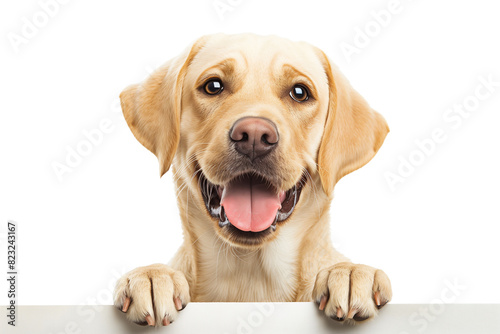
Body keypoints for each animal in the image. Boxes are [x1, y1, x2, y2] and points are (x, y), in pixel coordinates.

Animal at [112, 33, 390, 326]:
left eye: (300, 92)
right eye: (213, 86)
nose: (255, 136)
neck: (250, 277)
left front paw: (350, 273)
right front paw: (153, 275)